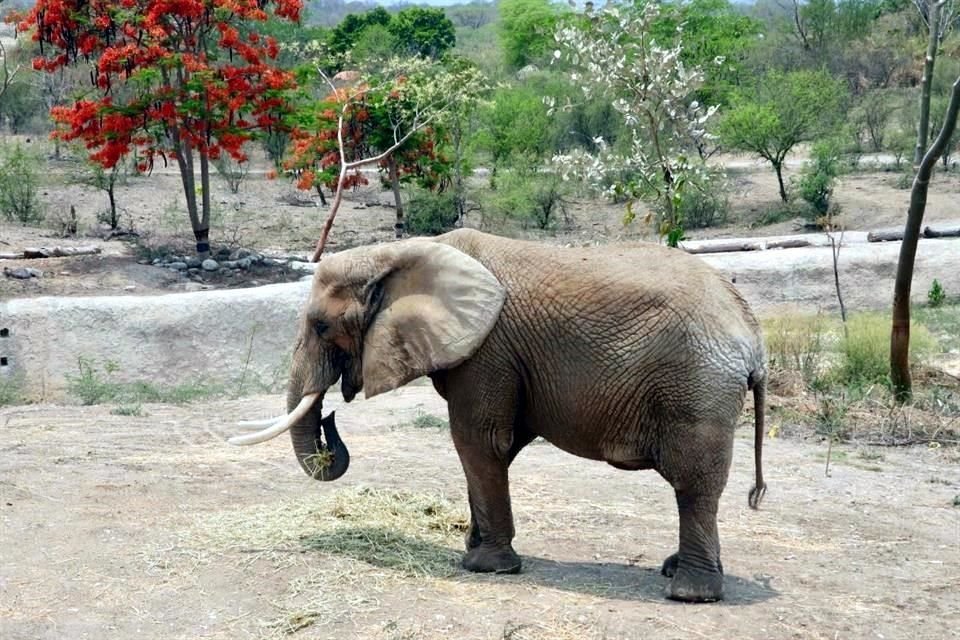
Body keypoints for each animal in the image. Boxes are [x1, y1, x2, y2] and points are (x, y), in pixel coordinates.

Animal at [229, 228, 768, 604]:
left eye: (321, 326)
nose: (329, 421)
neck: (403, 253)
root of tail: (752, 335)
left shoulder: (487, 351)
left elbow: (478, 440)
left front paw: (484, 567)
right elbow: (494, 448)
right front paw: (471, 550)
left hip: (697, 387)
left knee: (693, 482)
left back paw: (689, 593)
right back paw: (674, 570)